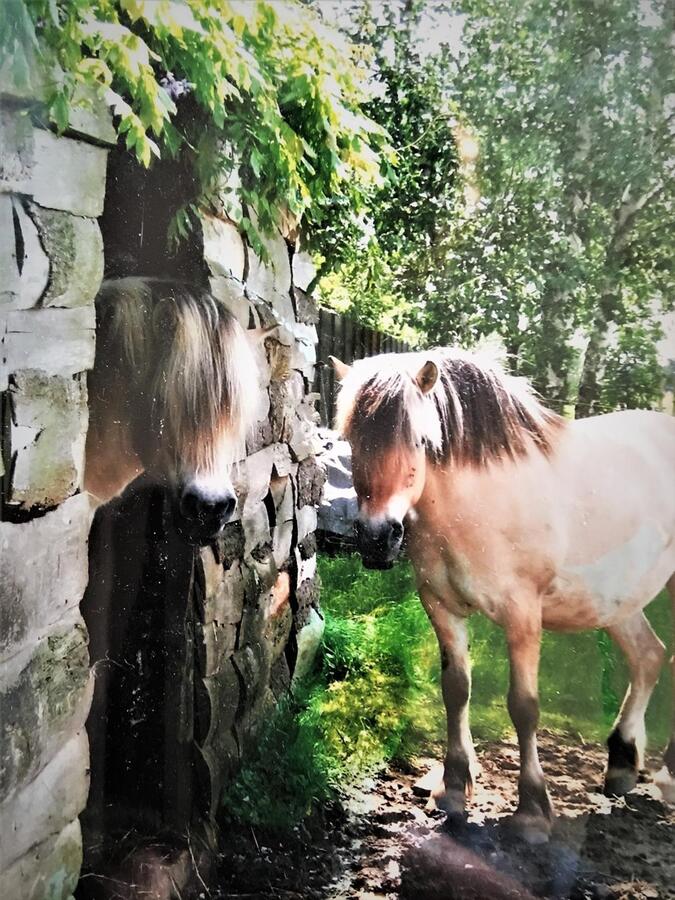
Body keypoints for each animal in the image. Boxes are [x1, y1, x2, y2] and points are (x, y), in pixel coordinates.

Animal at [332, 348, 675, 840]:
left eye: (418, 439)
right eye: (351, 438)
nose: (378, 538)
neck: (478, 508)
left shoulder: (522, 615)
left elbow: (524, 706)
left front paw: (531, 811)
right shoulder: (441, 606)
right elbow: (455, 689)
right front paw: (453, 788)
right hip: (619, 600)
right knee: (648, 656)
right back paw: (623, 765)